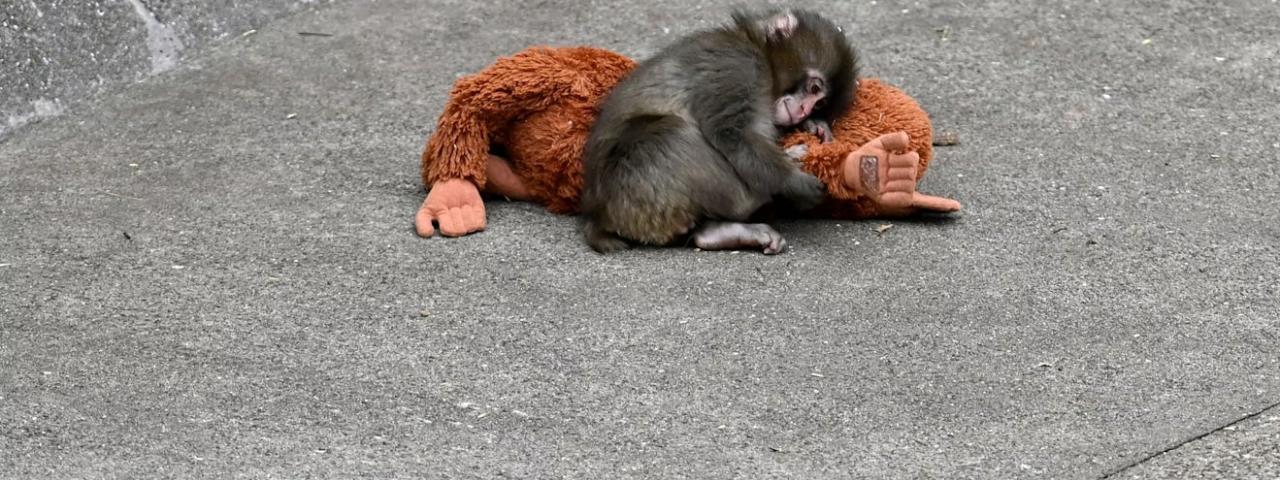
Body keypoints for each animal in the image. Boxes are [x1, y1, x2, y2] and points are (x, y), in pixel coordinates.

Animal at [578, 8, 858, 255]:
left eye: (820, 103)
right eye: (814, 88)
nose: (803, 111)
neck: (758, 51)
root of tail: (599, 214)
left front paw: (814, 126)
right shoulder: (738, 66)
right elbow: (732, 133)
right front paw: (793, 182)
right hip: (633, 188)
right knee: (671, 134)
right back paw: (758, 196)